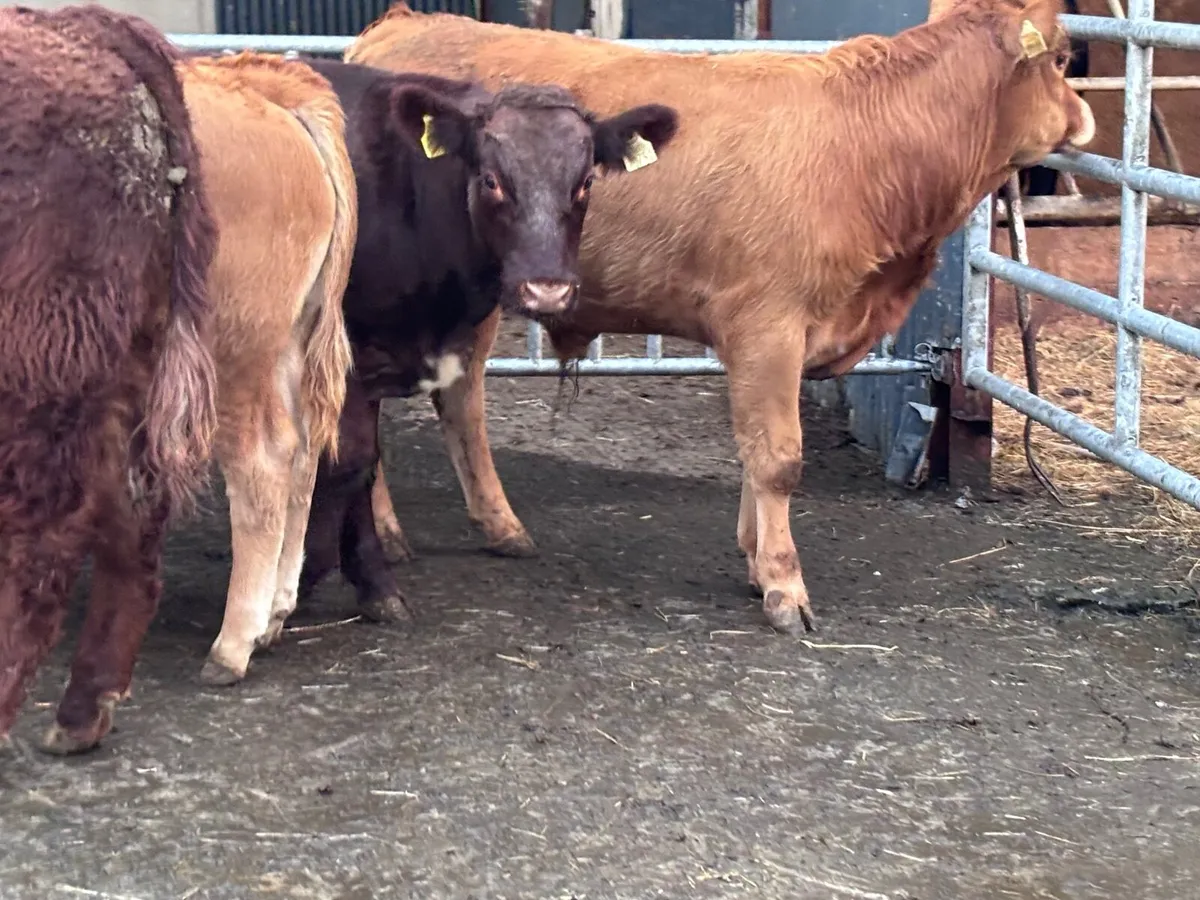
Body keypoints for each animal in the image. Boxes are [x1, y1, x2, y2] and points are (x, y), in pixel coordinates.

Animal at [0, 5, 218, 753]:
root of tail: (89, 26)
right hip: (122, 366)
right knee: (131, 513)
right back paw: (81, 712)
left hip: (40, 373)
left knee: (41, 544)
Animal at [286, 58, 679, 628]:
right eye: (491, 180)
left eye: (585, 182)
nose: (546, 288)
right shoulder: (349, 358)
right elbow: (350, 464)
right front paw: (326, 574)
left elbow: (360, 465)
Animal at [347, 0, 1096, 634]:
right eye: (1063, 58)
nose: (1085, 120)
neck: (865, 141)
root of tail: (402, 22)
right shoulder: (768, 325)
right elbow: (779, 457)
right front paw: (785, 587)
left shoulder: (769, 338)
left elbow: (751, 451)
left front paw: (755, 559)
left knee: (456, 401)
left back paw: (498, 527)